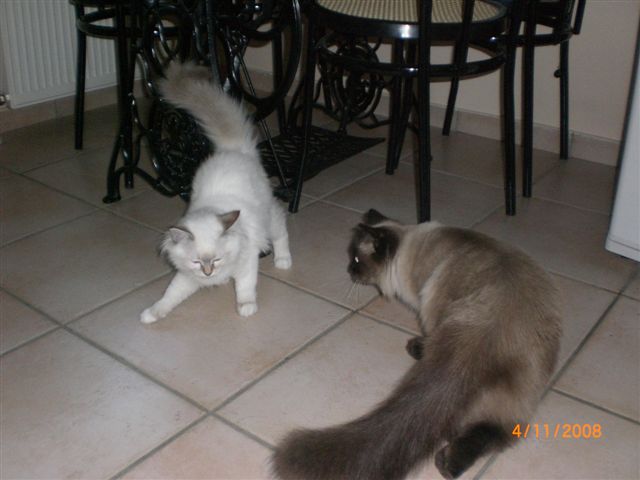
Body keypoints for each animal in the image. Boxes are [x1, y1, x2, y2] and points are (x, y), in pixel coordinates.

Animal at [140, 62, 291, 323]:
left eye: (217, 259)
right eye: (197, 262)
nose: (209, 274)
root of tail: (234, 149)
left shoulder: (247, 261)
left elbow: (245, 288)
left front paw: (246, 308)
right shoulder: (186, 276)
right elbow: (170, 295)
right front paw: (151, 315)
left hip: (268, 217)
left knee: (281, 229)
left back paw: (283, 261)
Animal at [272, 209, 561, 480]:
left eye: (355, 260)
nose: (348, 271)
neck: (409, 246)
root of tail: (489, 329)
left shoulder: (428, 309)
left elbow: (427, 335)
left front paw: (417, 346)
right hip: (513, 398)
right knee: (495, 432)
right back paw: (449, 466)